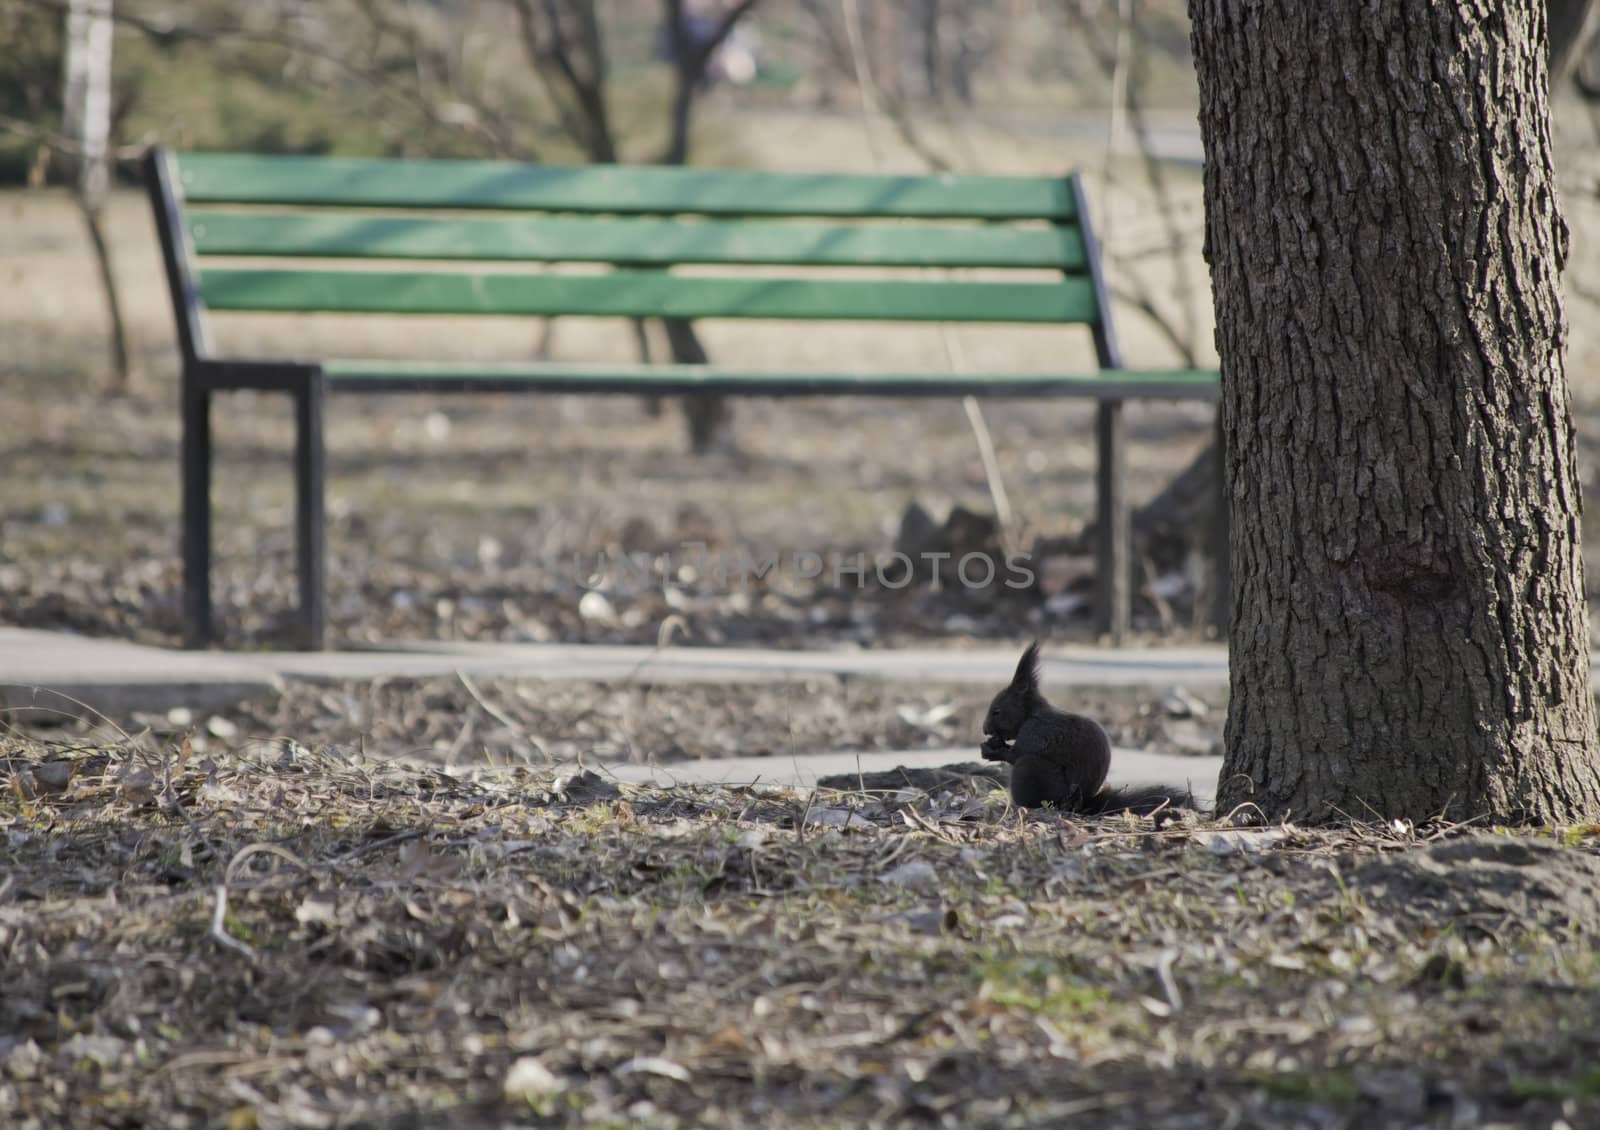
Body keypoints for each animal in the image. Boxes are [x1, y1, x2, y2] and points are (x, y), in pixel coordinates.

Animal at [979, 637, 1196, 813]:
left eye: (996, 711)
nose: (985, 729)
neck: (1031, 714)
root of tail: (1081, 805)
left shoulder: (1035, 732)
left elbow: (1016, 755)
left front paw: (991, 750)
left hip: (1035, 774)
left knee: (1028, 771)